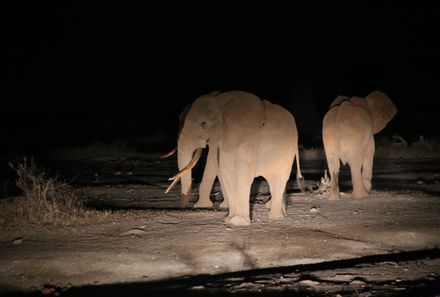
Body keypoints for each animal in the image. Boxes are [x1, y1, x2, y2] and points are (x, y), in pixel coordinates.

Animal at [165, 90, 302, 224]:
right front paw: (228, 219)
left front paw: (238, 221)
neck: (221, 102)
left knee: (280, 178)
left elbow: (242, 171)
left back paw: (276, 217)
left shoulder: (248, 138)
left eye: (204, 123)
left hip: (288, 151)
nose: (182, 209)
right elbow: (226, 170)